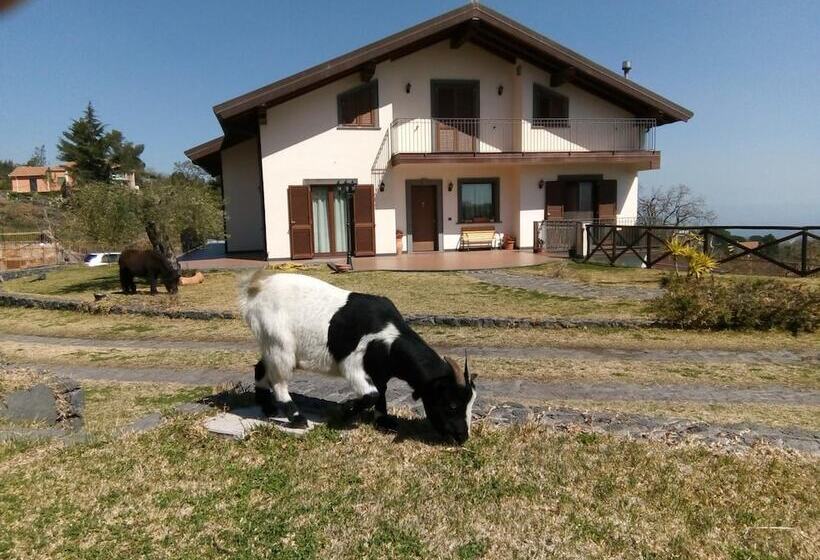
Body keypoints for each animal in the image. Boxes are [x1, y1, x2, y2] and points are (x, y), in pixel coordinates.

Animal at [240, 270, 478, 444]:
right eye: (452, 405)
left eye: (471, 403)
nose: (462, 437)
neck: (390, 336)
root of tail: (256, 290)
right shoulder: (353, 364)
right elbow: (371, 394)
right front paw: (344, 413)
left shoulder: (380, 371)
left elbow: (381, 392)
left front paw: (383, 421)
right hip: (280, 345)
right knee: (279, 380)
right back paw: (297, 418)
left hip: (270, 345)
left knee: (261, 368)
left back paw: (267, 407)